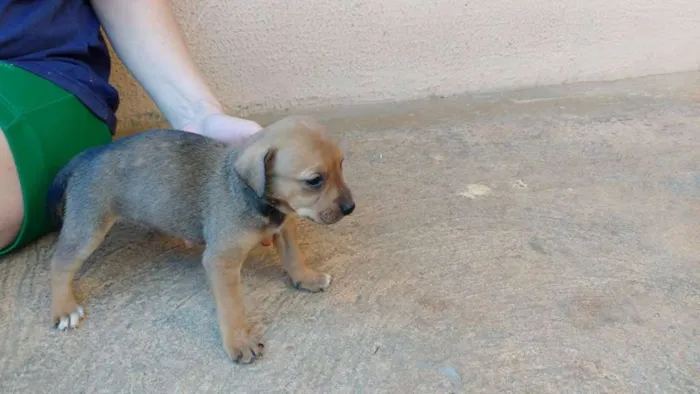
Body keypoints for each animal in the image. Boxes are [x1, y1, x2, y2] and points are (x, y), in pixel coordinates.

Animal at [47, 115, 356, 364]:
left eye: (342, 165)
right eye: (314, 180)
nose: (350, 208)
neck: (253, 195)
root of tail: (85, 156)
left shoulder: (284, 225)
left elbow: (294, 256)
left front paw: (306, 278)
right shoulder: (221, 261)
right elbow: (233, 307)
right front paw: (239, 342)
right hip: (88, 228)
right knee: (59, 264)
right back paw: (64, 308)